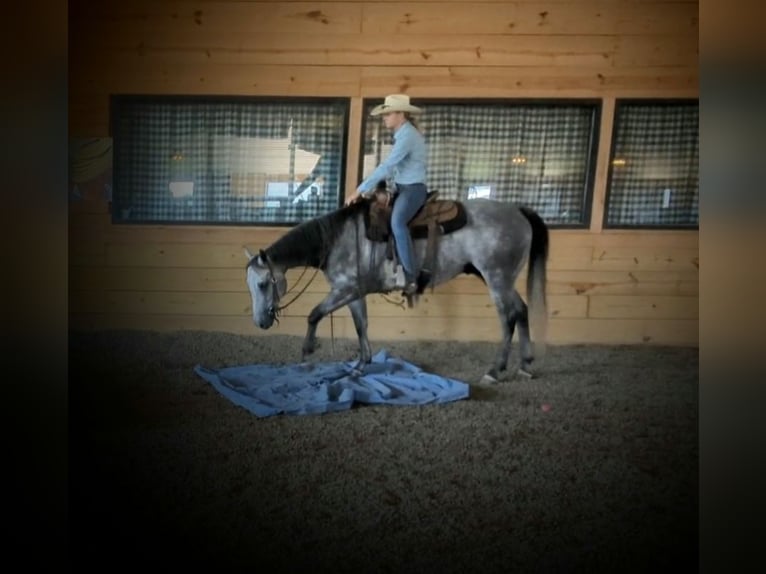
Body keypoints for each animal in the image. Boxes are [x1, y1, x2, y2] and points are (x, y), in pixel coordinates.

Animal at [243, 197, 548, 382]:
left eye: (262, 284)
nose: (260, 322)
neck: (338, 239)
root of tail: (518, 211)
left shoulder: (344, 290)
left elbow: (314, 314)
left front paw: (307, 352)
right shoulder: (353, 293)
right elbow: (361, 325)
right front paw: (360, 366)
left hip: (496, 278)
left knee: (507, 318)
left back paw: (495, 371)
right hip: (503, 280)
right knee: (522, 310)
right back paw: (525, 365)